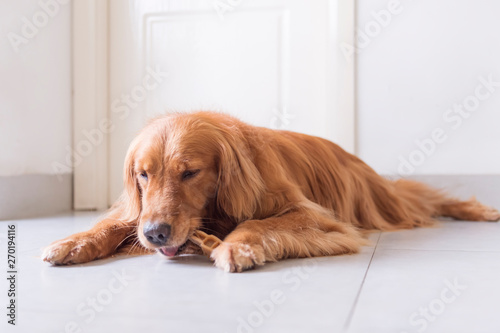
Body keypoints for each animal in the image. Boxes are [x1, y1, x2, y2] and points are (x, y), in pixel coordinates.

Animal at [42, 110, 500, 272]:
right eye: (143, 175)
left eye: (190, 173)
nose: (156, 235)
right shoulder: (138, 212)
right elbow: (117, 223)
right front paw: (73, 242)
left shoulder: (314, 215)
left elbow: (259, 224)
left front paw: (237, 246)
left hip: (381, 198)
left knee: (426, 197)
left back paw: (480, 211)